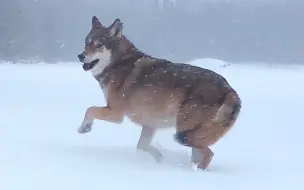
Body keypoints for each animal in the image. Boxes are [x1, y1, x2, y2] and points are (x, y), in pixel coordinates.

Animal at [76, 16, 242, 171]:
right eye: (86, 43)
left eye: (99, 45)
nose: (80, 56)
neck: (118, 64)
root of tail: (229, 90)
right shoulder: (149, 124)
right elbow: (142, 146)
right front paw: (158, 158)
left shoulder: (116, 114)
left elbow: (89, 109)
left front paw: (84, 128)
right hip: (190, 134)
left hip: (183, 130)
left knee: (209, 154)